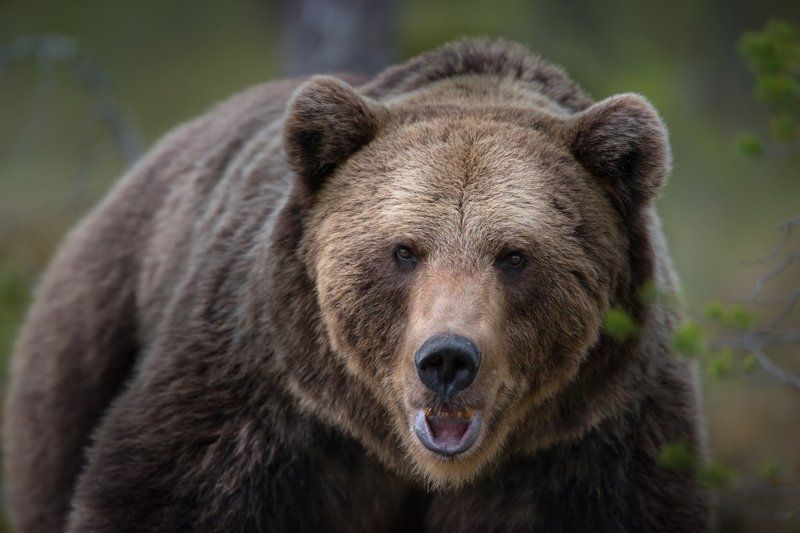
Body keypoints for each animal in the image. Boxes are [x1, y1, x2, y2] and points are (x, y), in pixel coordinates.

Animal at [3, 38, 711, 532]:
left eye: (515, 255)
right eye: (403, 250)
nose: (447, 360)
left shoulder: (593, 444)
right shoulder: (258, 409)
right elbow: (167, 495)